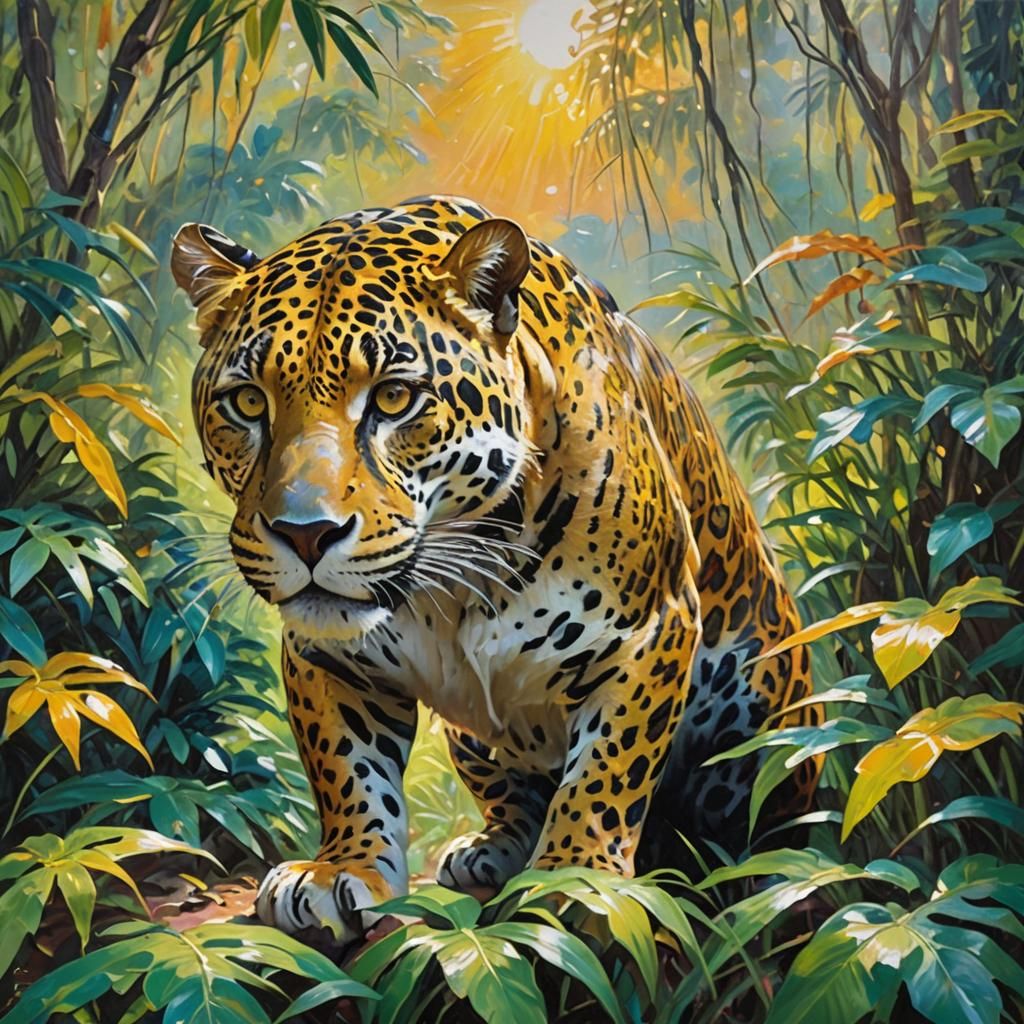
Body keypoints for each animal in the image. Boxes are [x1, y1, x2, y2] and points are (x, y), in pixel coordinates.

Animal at [171, 195, 817, 944]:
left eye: (393, 398)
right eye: (248, 402)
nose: (306, 535)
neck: (453, 582)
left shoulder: (651, 630)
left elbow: (606, 770)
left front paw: (574, 876)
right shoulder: (322, 654)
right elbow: (345, 768)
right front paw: (341, 870)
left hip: (765, 708)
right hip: (472, 739)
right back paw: (490, 849)